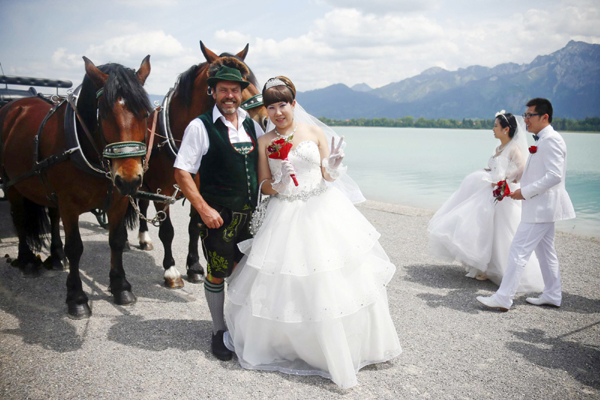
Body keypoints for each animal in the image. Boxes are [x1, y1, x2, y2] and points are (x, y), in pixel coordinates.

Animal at [0, 56, 152, 318]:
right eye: (104, 113)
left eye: (145, 113)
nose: (130, 179)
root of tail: (15, 105)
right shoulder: (70, 205)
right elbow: (75, 248)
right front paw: (77, 298)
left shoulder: (118, 201)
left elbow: (117, 240)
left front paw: (121, 286)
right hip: (12, 184)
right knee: (19, 219)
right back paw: (27, 261)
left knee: (52, 216)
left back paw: (56, 256)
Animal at [138, 41, 268, 288]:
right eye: (221, 83)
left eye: (249, 79)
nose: (263, 119)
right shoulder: (162, 193)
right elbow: (167, 231)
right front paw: (171, 270)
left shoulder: (199, 191)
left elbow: (195, 226)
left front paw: (195, 267)